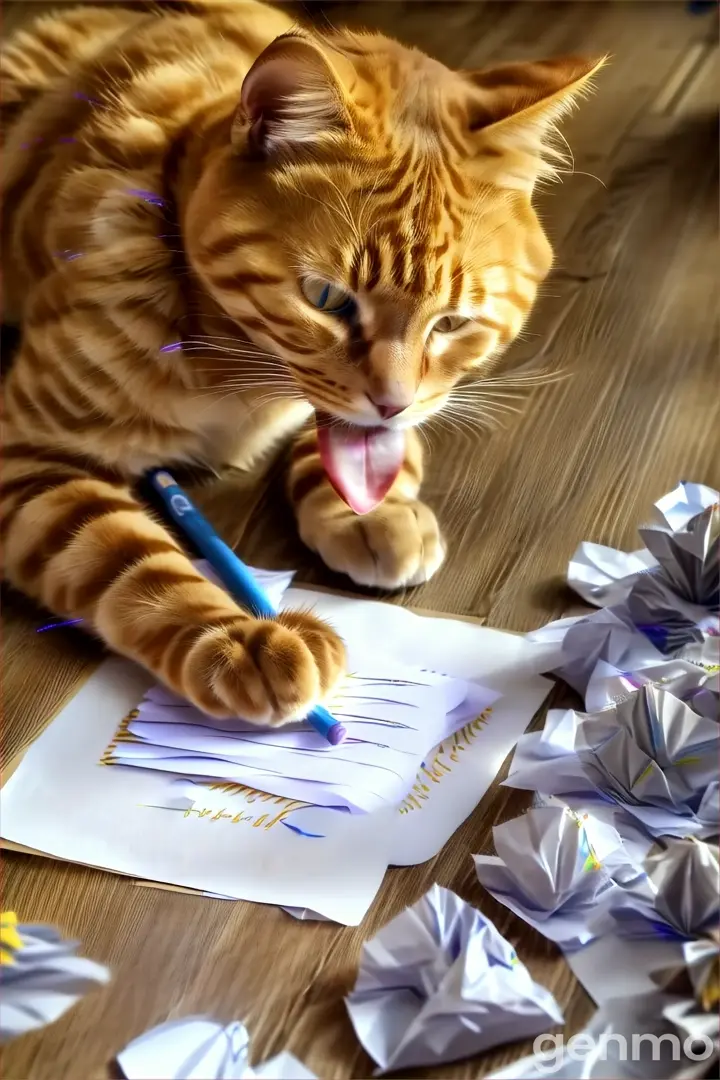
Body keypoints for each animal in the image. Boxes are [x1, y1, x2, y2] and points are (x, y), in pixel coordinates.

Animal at [0, 0, 604, 725]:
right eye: (327, 300)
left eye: (453, 322)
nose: (393, 401)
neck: (237, 383)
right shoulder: (30, 456)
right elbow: (131, 563)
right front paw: (240, 638)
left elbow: (352, 451)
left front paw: (372, 513)